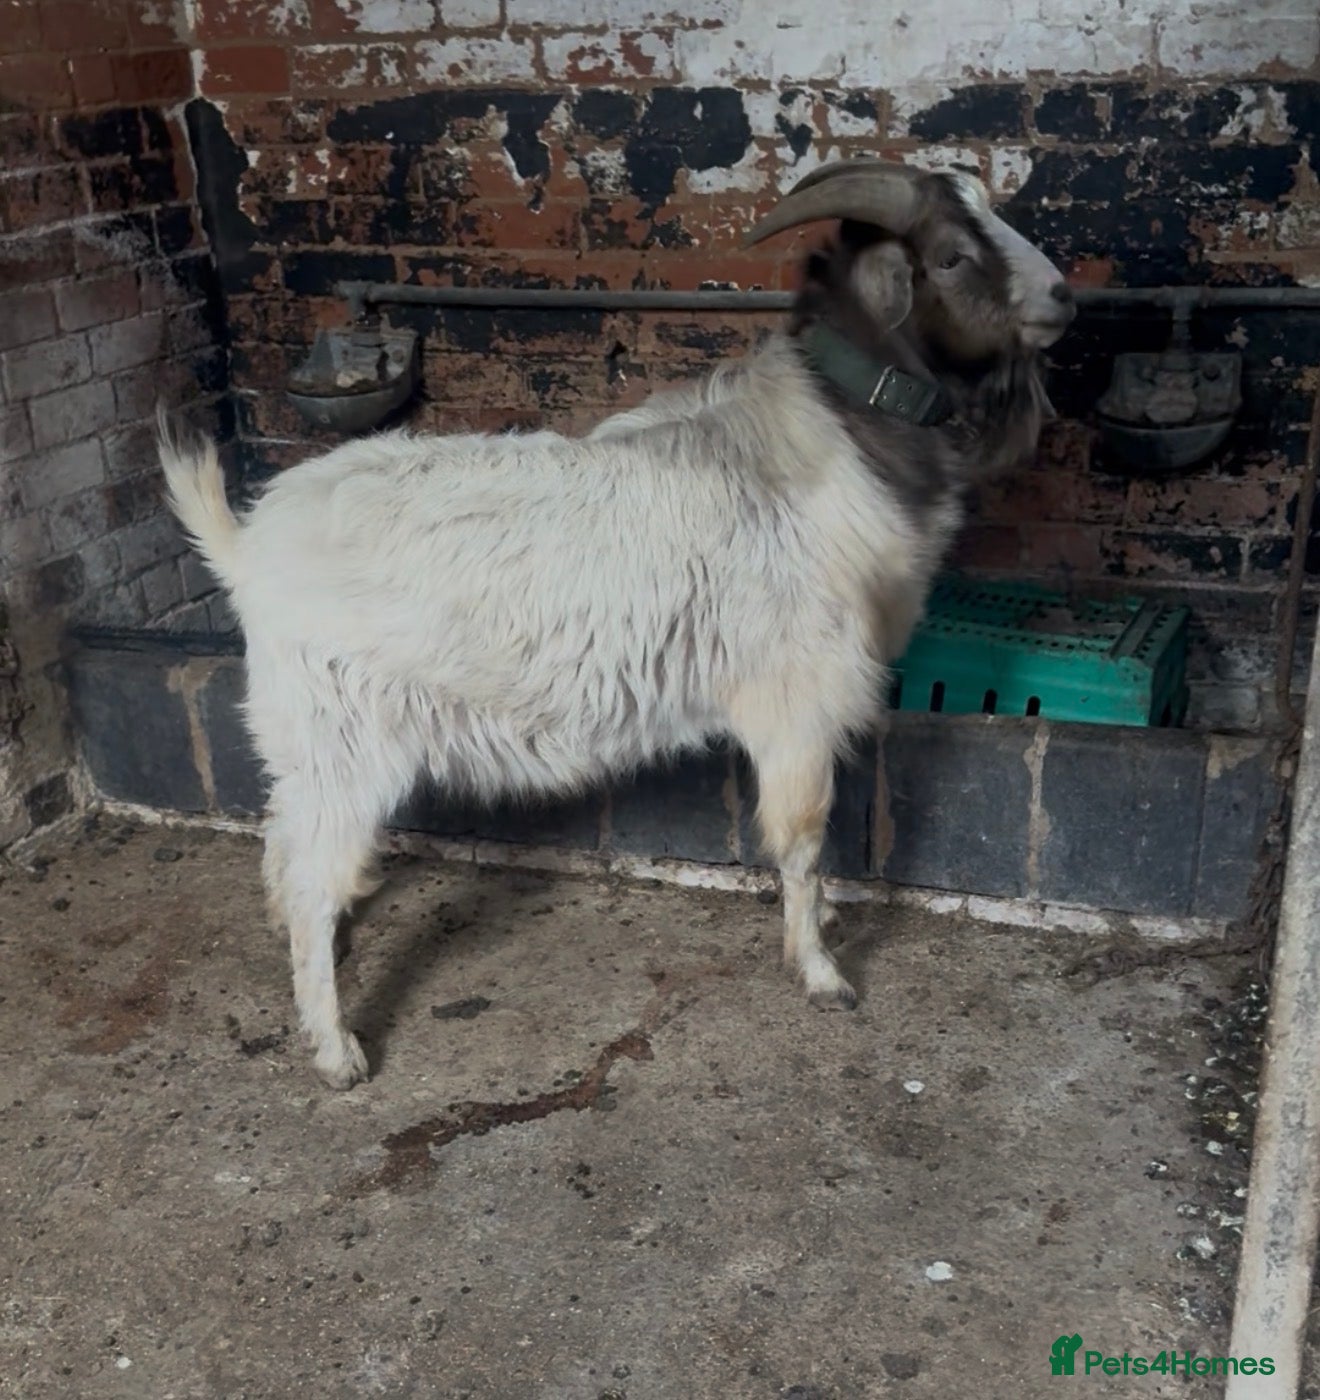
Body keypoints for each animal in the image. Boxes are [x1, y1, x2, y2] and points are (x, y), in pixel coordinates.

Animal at [160, 159, 1075, 1089]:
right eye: (953, 255)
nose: (1065, 298)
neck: (828, 443)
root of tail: (247, 543)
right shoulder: (797, 700)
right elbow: (803, 841)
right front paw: (820, 972)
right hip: (344, 738)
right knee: (314, 877)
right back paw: (337, 1048)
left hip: (300, 742)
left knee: (281, 841)